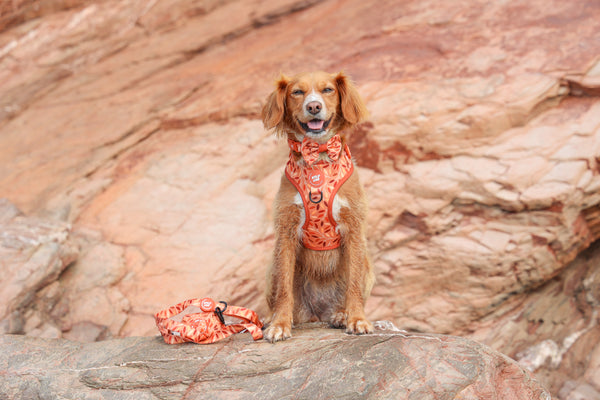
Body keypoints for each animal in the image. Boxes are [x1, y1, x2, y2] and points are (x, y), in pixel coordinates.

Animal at [262, 70, 376, 342]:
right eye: (297, 92)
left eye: (327, 90)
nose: (313, 106)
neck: (319, 158)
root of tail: (318, 313)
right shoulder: (286, 231)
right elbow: (284, 287)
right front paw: (280, 324)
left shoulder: (354, 229)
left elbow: (353, 284)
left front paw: (357, 319)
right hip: (272, 268)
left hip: (368, 265)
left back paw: (341, 314)